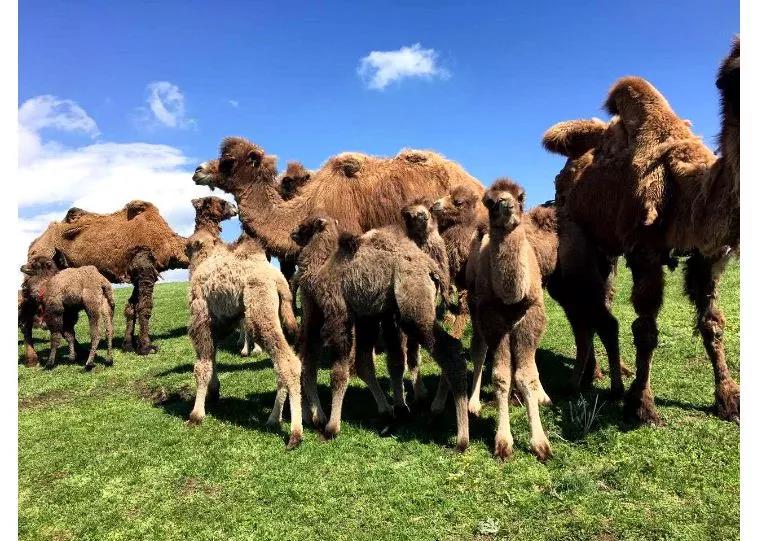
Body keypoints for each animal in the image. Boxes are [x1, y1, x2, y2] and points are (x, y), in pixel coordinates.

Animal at [24, 199, 189, 358]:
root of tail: (34, 245)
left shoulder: (136, 273)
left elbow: (131, 307)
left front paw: (128, 345)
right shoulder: (145, 264)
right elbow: (145, 306)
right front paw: (146, 347)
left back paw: (80, 353)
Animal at [185, 196, 302, 450]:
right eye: (221, 202)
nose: (234, 208)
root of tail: (279, 283)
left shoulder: (201, 315)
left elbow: (202, 364)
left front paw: (196, 414)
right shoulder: (221, 319)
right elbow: (213, 357)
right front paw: (214, 393)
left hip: (261, 315)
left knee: (288, 363)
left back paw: (295, 434)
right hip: (279, 317)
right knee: (283, 363)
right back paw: (273, 419)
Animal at [466, 179, 548, 458]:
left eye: (520, 196)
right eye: (489, 202)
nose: (507, 205)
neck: (512, 295)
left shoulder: (530, 315)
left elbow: (527, 375)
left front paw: (540, 442)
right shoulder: (492, 317)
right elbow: (501, 376)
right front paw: (503, 441)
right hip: (475, 310)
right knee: (479, 352)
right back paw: (473, 403)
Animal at [544, 39, 740, 426]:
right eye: (729, 76)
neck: (689, 192)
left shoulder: (708, 256)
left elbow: (713, 323)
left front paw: (729, 399)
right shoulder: (643, 250)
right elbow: (646, 330)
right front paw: (642, 405)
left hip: (606, 250)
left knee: (601, 303)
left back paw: (610, 371)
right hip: (583, 242)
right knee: (588, 306)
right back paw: (593, 374)